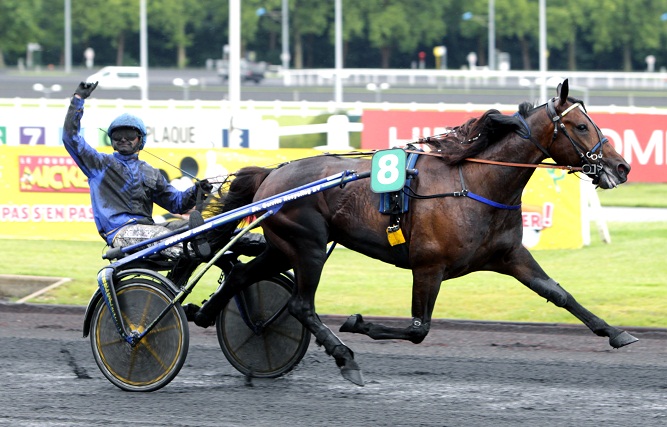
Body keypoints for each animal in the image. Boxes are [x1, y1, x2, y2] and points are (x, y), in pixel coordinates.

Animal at [193, 78, 636, 386]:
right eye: (581, 126)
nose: (622, 167)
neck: (474, 184)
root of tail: (272, 173)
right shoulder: (428, 266)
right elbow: (418, 329)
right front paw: (357, 322)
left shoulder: (509, 256)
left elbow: (558, 293)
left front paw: (616, 333)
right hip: (308, 247)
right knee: (300, 306)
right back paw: (345, 357)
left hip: (284, 247)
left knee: (241, 274)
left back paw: (213, 315)